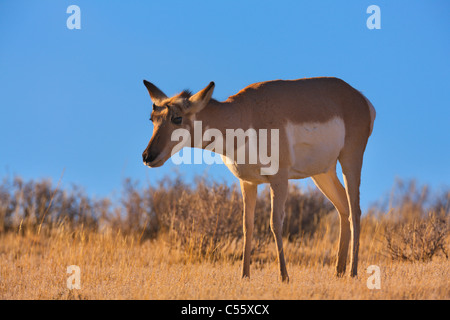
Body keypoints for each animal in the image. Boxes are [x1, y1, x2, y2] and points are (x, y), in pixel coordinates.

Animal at [142, 78, 374, 282]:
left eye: (177, 118)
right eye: (152, 118)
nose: (147, 156)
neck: (244, 114)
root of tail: (359, 98)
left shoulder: (279, 179)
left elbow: (275, 223)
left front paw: (284, 277)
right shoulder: (248, 183)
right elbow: (247, 226)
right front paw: (244, 276)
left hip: (350, 161)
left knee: (355, 210)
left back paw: (352, 272)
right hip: (323, 173)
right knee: (343, 207)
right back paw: (339, 271)